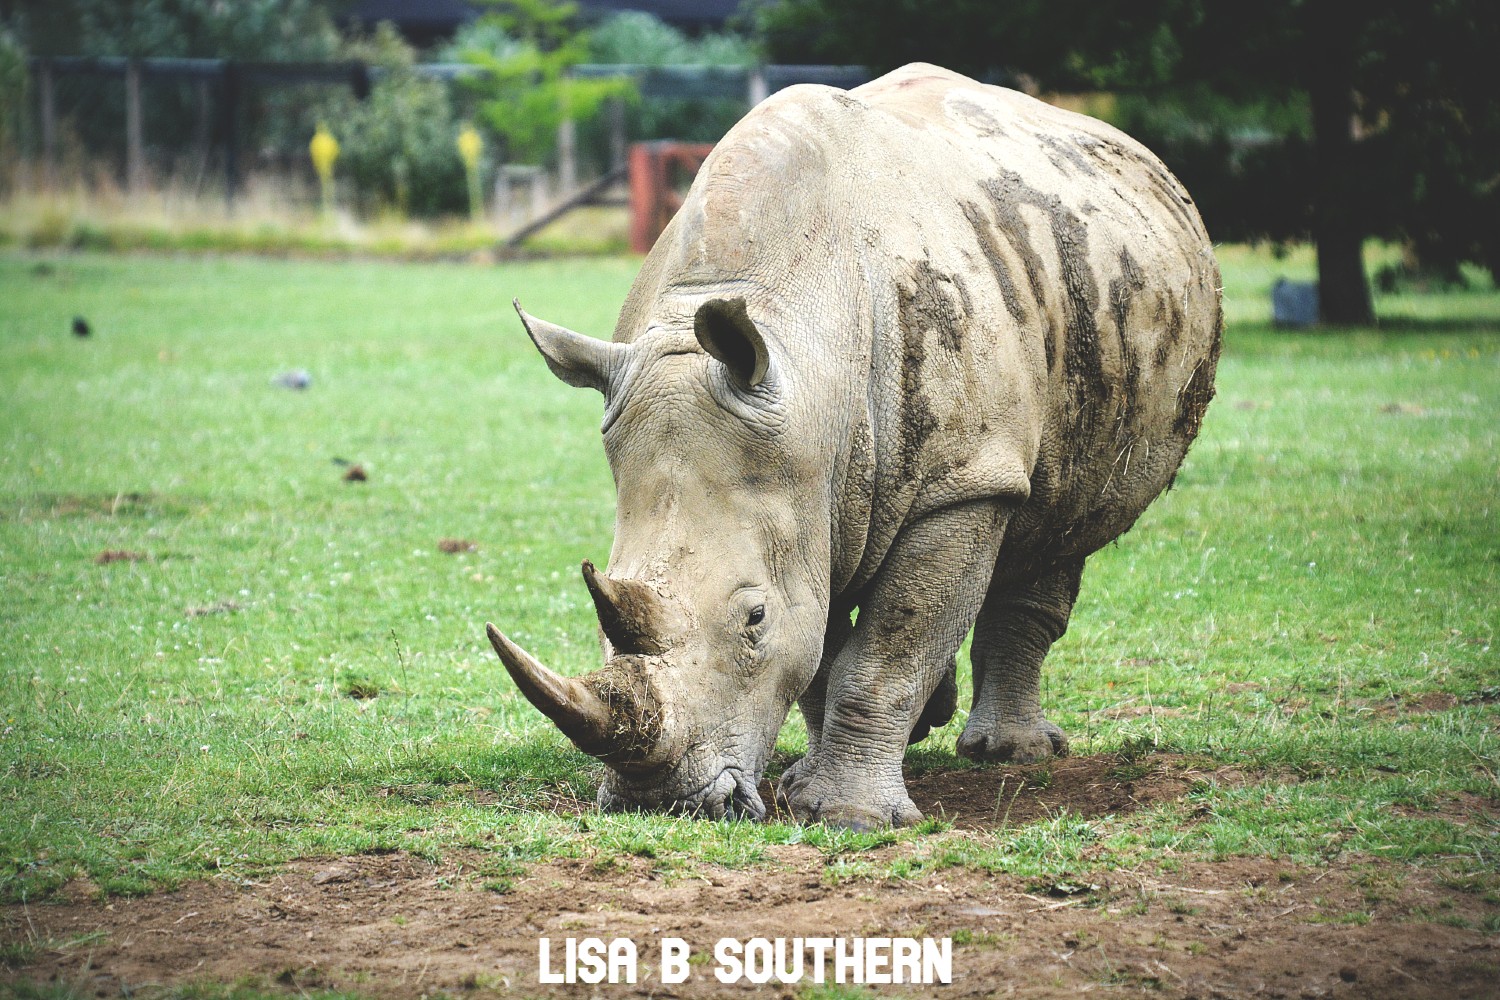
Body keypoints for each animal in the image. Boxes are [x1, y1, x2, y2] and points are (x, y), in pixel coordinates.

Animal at [486, 63, 1220, 830]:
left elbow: (889, 648)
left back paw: (1011, 755)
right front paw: (808, 785)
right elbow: (820, 648)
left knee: (1057, 519)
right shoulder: (808, 491)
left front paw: (850, 816)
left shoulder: (963, 479)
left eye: (753, 619)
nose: (659, 802)